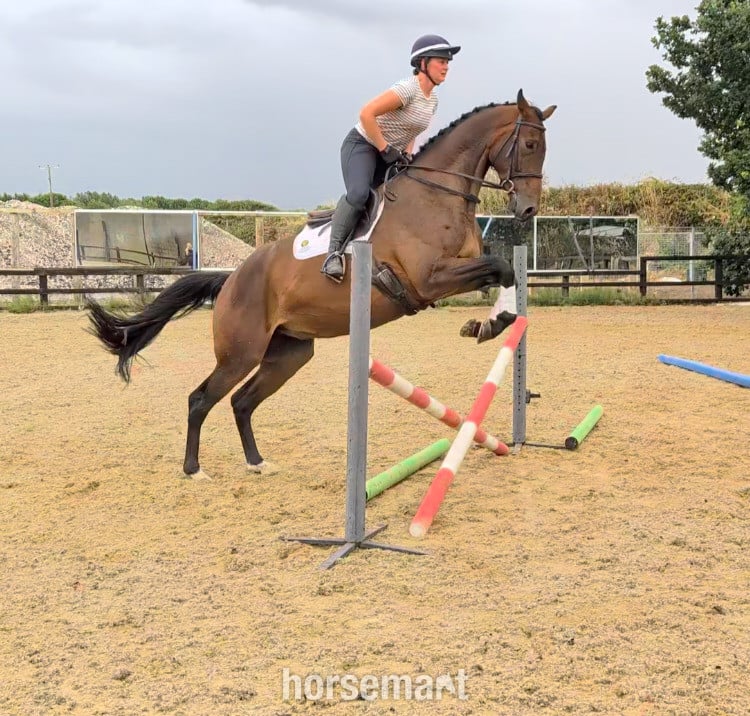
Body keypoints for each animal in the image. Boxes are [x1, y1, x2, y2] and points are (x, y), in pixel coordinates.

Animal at [87, 89, 556, 479]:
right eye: (530, 146)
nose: (528, 209)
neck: (437, 194)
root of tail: (231, 278)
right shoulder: (429, 278)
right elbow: (500, 266)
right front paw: (487, 325)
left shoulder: (456, 269)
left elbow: (503, 272)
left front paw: (489, 324)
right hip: (241, 352)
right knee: (201, 399)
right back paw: (193, 469)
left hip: (289, 353)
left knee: (242, 401)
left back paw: (257, 463)